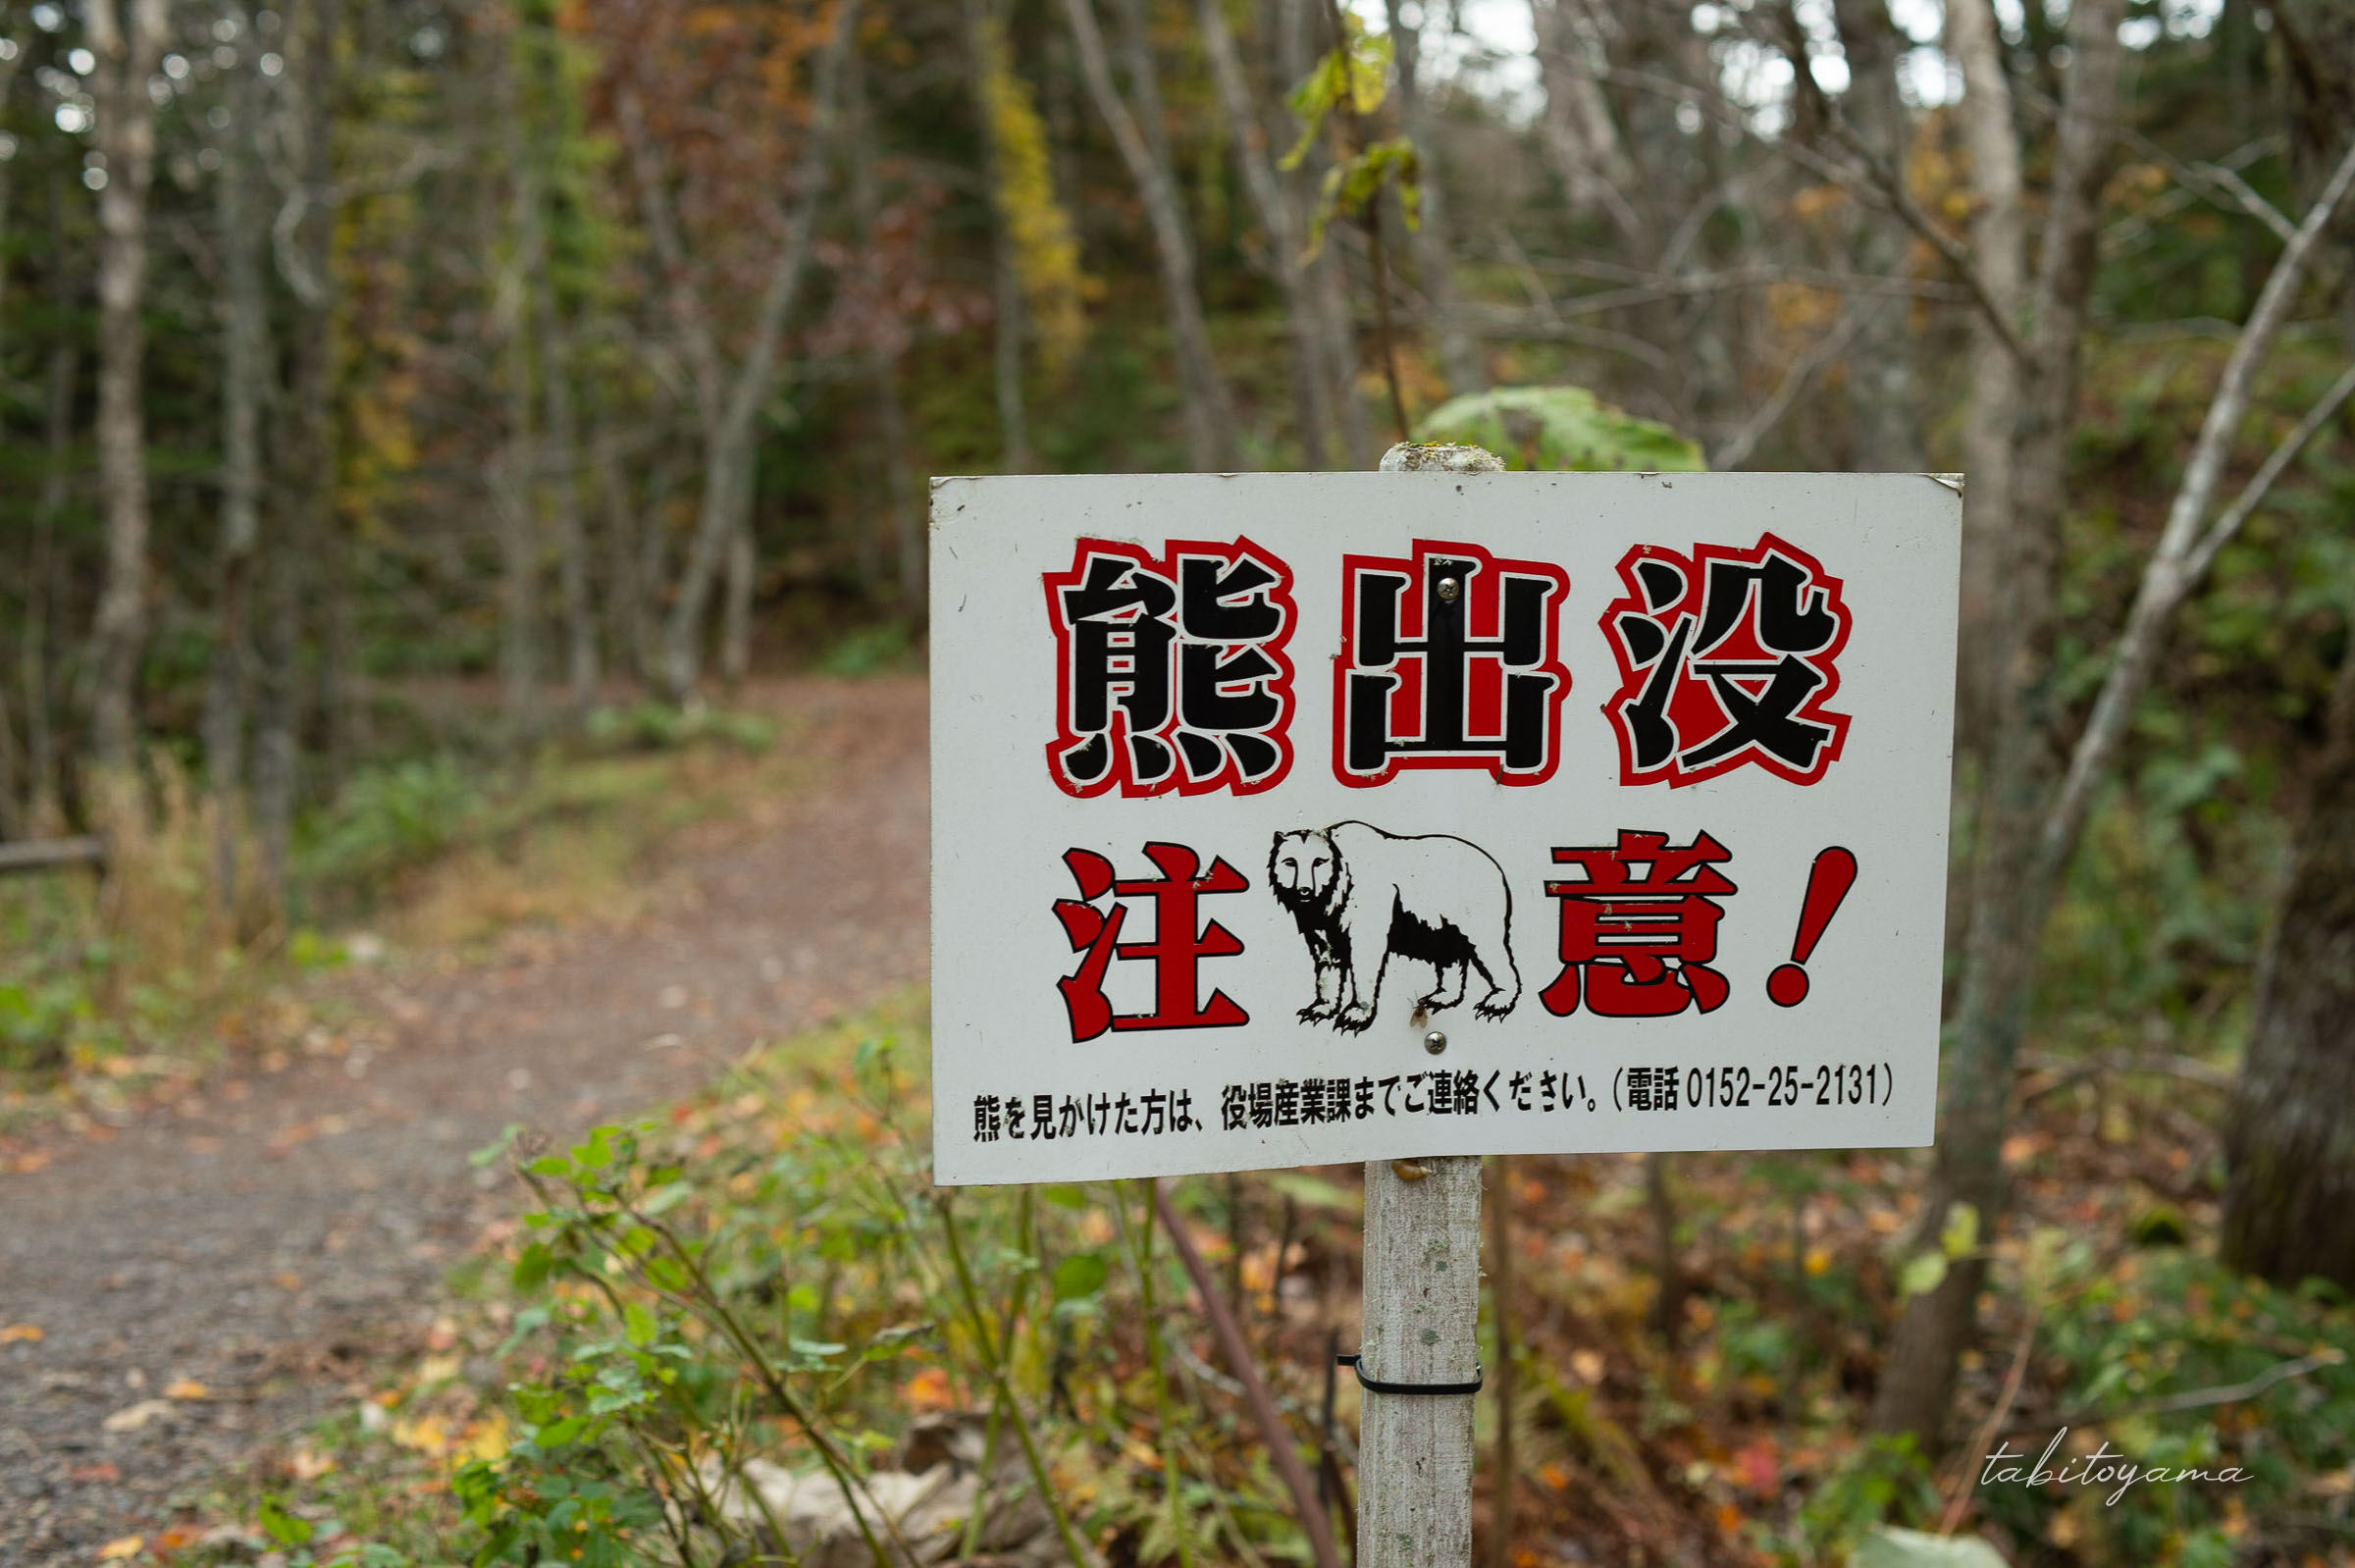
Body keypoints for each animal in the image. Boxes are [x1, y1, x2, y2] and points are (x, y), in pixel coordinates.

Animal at [1267, 821, 1521, 1034]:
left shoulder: (1365, 896)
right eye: (1290, 862)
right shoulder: (1319, 920)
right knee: (1448, 952)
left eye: (1319, 861)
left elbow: (1365, 953)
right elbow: (1327, 957)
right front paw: (1318, 1009)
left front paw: (1354, 1016)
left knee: (1489, 947)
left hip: (1472, 904)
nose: (1304, 890)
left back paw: (1495, 1003)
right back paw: (1439, 997)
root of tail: (1495, 866)